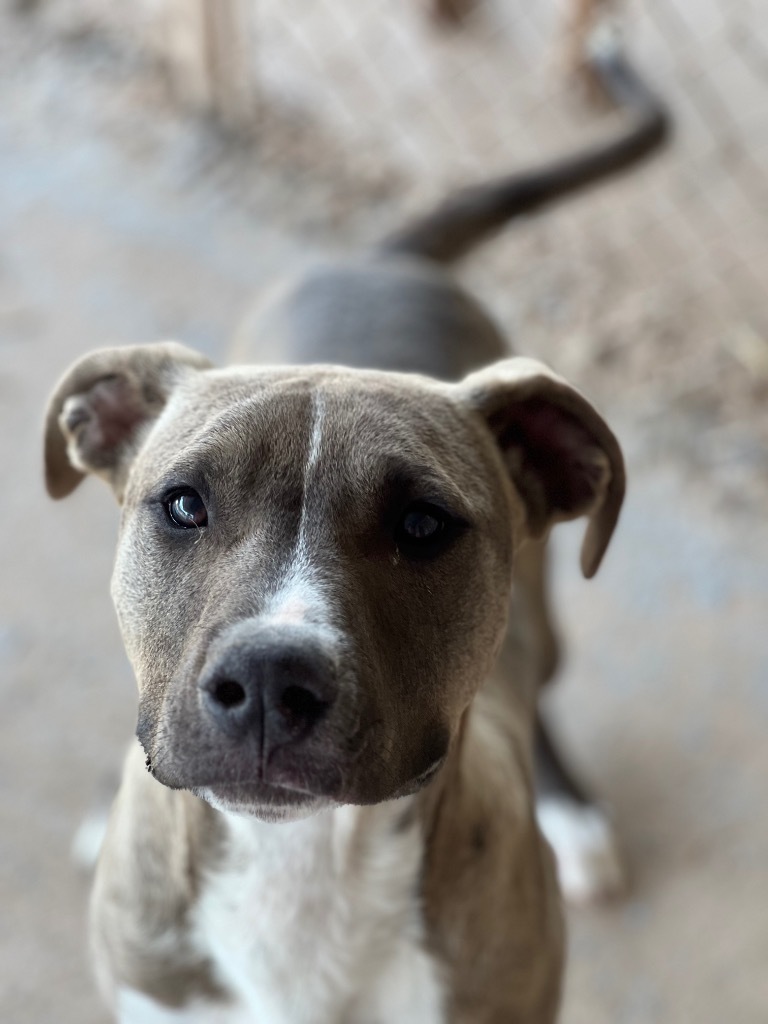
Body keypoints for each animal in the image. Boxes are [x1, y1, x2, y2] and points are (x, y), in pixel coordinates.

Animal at [43, 41, 667, 1024]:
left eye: (423, 523)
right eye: (183, 504)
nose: (269, 679)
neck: (299, 872)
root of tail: (382, 258)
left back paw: (574, 815)